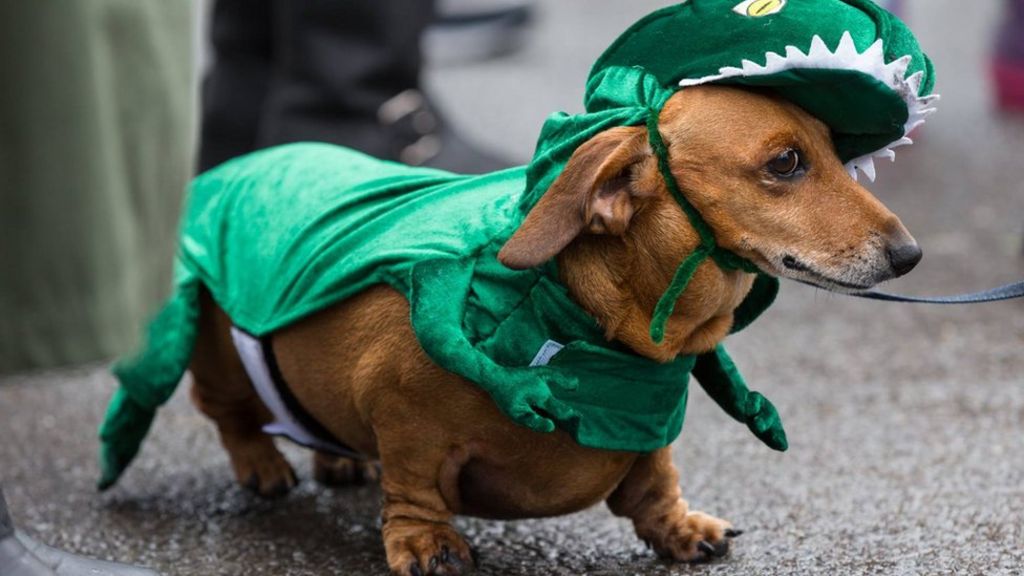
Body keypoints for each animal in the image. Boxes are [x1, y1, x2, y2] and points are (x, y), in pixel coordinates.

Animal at [188, 86, 925, 573]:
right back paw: (263, 463)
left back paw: (337, 455)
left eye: (833, 151)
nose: (909, 255)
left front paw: (679, 528)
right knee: (228, 414)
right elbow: (414, 487)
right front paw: (425, 542)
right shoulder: (404, 421)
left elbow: (655, 481)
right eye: (784, 163)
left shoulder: (647, 432)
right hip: (216, 351)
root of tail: (238, 165)